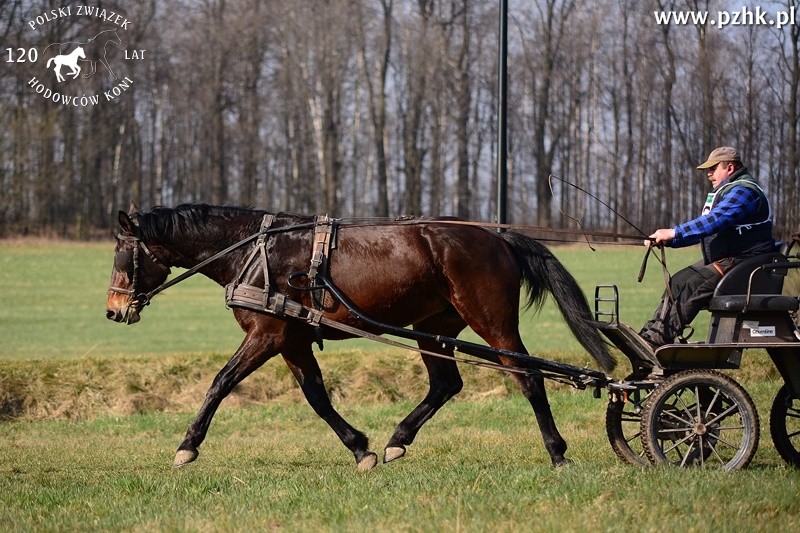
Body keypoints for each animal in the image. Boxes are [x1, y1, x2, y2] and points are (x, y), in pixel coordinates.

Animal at [106, 202, 612, 468]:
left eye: (122, 255)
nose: (113, 310)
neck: (254, 250)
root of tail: (497, 237)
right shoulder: (292, 340)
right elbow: (317, 397)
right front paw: (359, 447)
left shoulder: (267, 335)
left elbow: (220, 383)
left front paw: (187, 446)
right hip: (433, 328)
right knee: (446, 384)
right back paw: (398, 438)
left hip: (492, 322)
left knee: (528, 377)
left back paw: (557, 452)